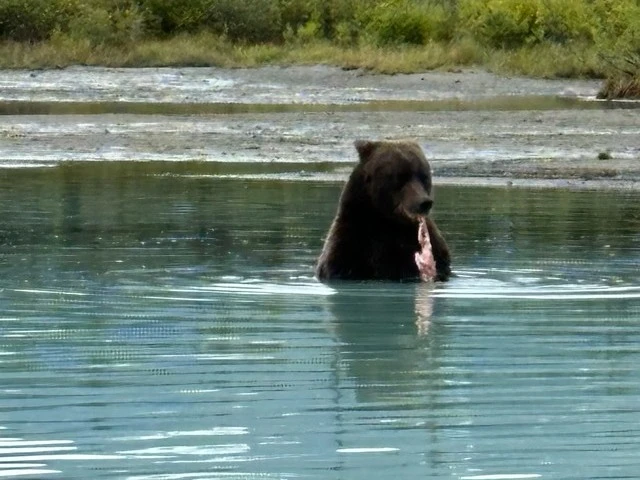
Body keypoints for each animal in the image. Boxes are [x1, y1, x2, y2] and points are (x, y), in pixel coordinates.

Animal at [316, 139, 451, 282]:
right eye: (401, 177)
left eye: (424, 176)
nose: (424, 202)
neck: (386, 222)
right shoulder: (349, 246)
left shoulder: (434, 252)